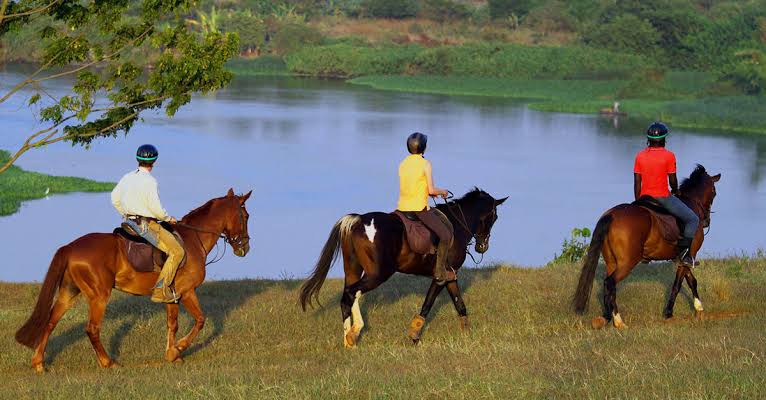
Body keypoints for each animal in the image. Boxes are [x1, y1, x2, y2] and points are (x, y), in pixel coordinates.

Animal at [15, 189, 252, 372]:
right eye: (246, 216)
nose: (245, 247)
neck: (193, 239)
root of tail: (71, 247)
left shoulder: (171, 297)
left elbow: (172, 324)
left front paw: (172, 354)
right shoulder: (186, 291)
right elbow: (200, 320)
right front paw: (177, 350)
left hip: (69, 292)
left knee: (50, 322)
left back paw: (39, 363)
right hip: (99, 296)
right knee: (92, 328)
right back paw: (108, 363)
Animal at [299, 188, 508, 348]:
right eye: (494, 217)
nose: (482, 246)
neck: (456, 225)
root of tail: (358, 220)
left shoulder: (451, 275)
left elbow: (460, 304)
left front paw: (466, 334)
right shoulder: (441, 275)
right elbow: (428, 304)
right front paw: (414, 336)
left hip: (353, 270)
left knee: (347, 296)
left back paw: (349, 341)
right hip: (378, 273)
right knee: (352, 293)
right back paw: (355, 331)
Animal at [573, 165, 720, 328]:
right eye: (714, 192)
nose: (706, 221)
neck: (691, 204)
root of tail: (611, 215)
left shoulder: (682, 257)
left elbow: (691, 281)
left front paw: (699, 309)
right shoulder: (690, 254)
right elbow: (677, 284)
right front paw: (669, 313)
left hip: (611, 262)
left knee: (607, 287)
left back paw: (607, 316)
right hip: (627, 262)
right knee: (610, 283)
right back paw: (619, 321)